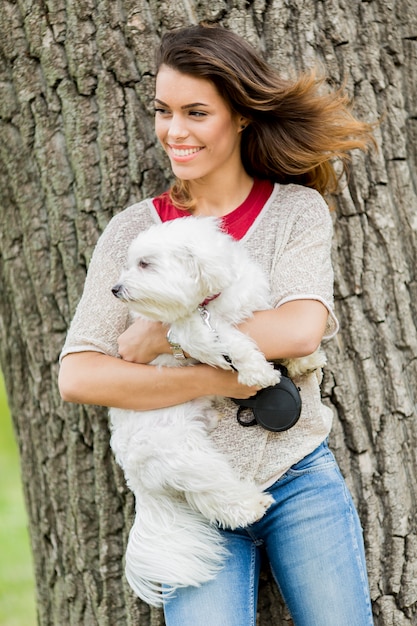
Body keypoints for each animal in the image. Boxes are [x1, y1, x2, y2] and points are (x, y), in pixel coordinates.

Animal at [109, 216, 322, 604]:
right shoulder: (192, 331)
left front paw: (304, 359)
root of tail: (133, 472)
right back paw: (251, 505)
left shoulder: (254, 306)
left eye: (144, 264)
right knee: (215, 495)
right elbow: (230, 338)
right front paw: (257, 371)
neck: (208, 301)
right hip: (189, 455)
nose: (115, 289)